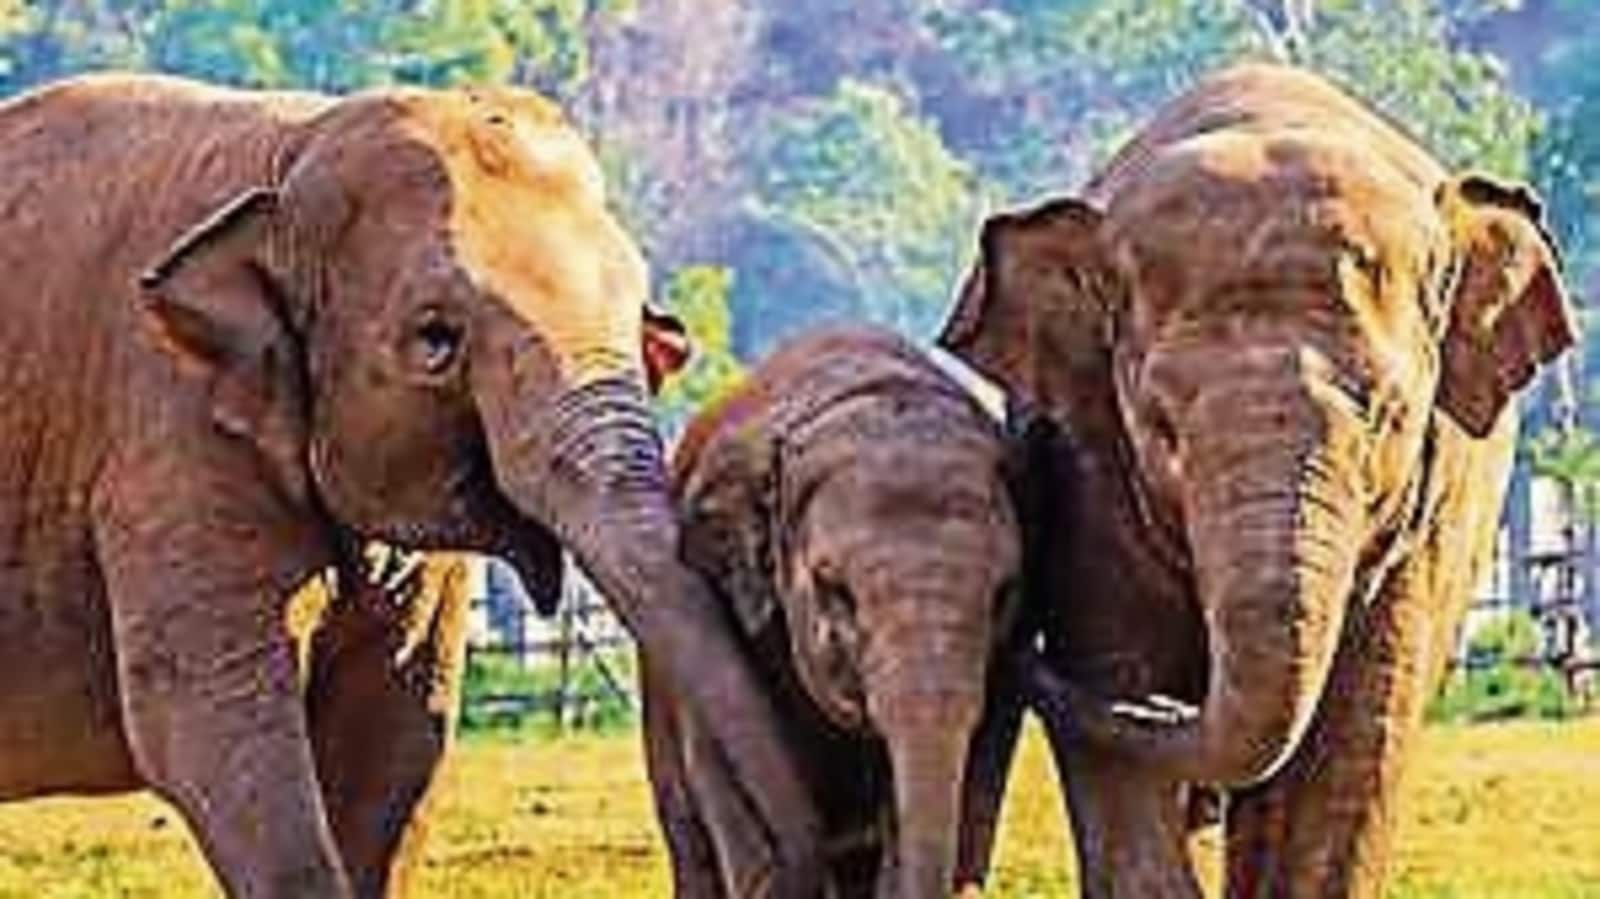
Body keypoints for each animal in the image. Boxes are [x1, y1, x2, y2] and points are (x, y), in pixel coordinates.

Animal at [0, 73, 825, 897]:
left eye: (650, 326)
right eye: (436, 338)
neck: (292, 149)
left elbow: (399, 734)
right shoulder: (168, 438)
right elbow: (206, 722)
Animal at [938, 63, 1576, 898]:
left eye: (1388, 416)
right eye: (1161, 426)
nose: (1018, 652)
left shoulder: (1433, 504)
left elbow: (1360, 736)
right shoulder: (1087, 462)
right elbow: (1115, 674)